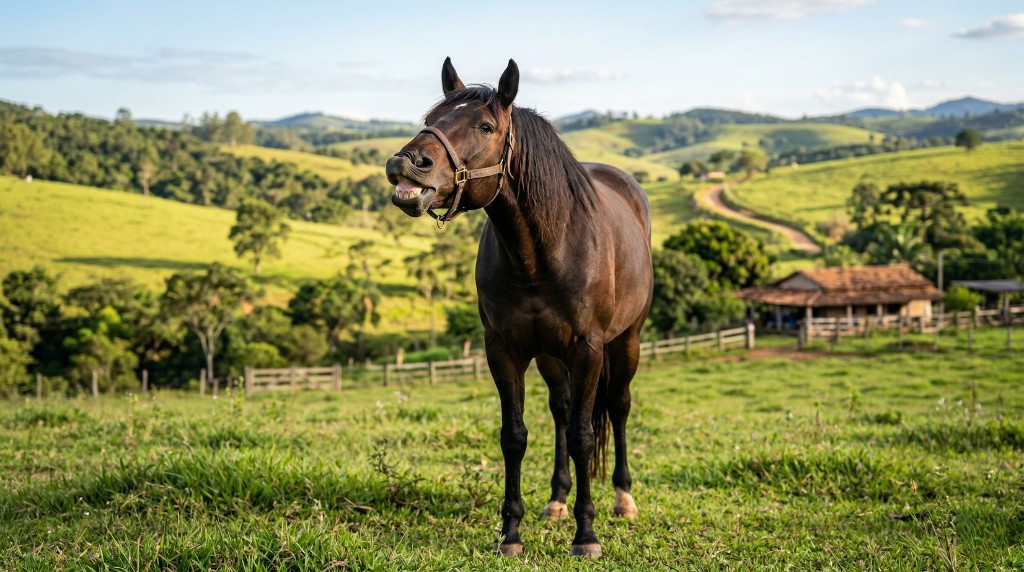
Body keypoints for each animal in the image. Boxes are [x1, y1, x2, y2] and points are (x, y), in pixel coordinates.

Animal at [386, 58, 653, 558]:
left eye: (485, 126)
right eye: (432, 119)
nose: (405, 163)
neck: (541, 252)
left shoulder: (588, 350)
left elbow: (585, 437)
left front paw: (586, 537)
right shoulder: (503, 350)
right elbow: (515, 436)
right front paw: (510, 532)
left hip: (626, 342)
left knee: (618, 406)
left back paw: (623, 499)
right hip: (550, 356)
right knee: (562, 411)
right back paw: (557, 500)